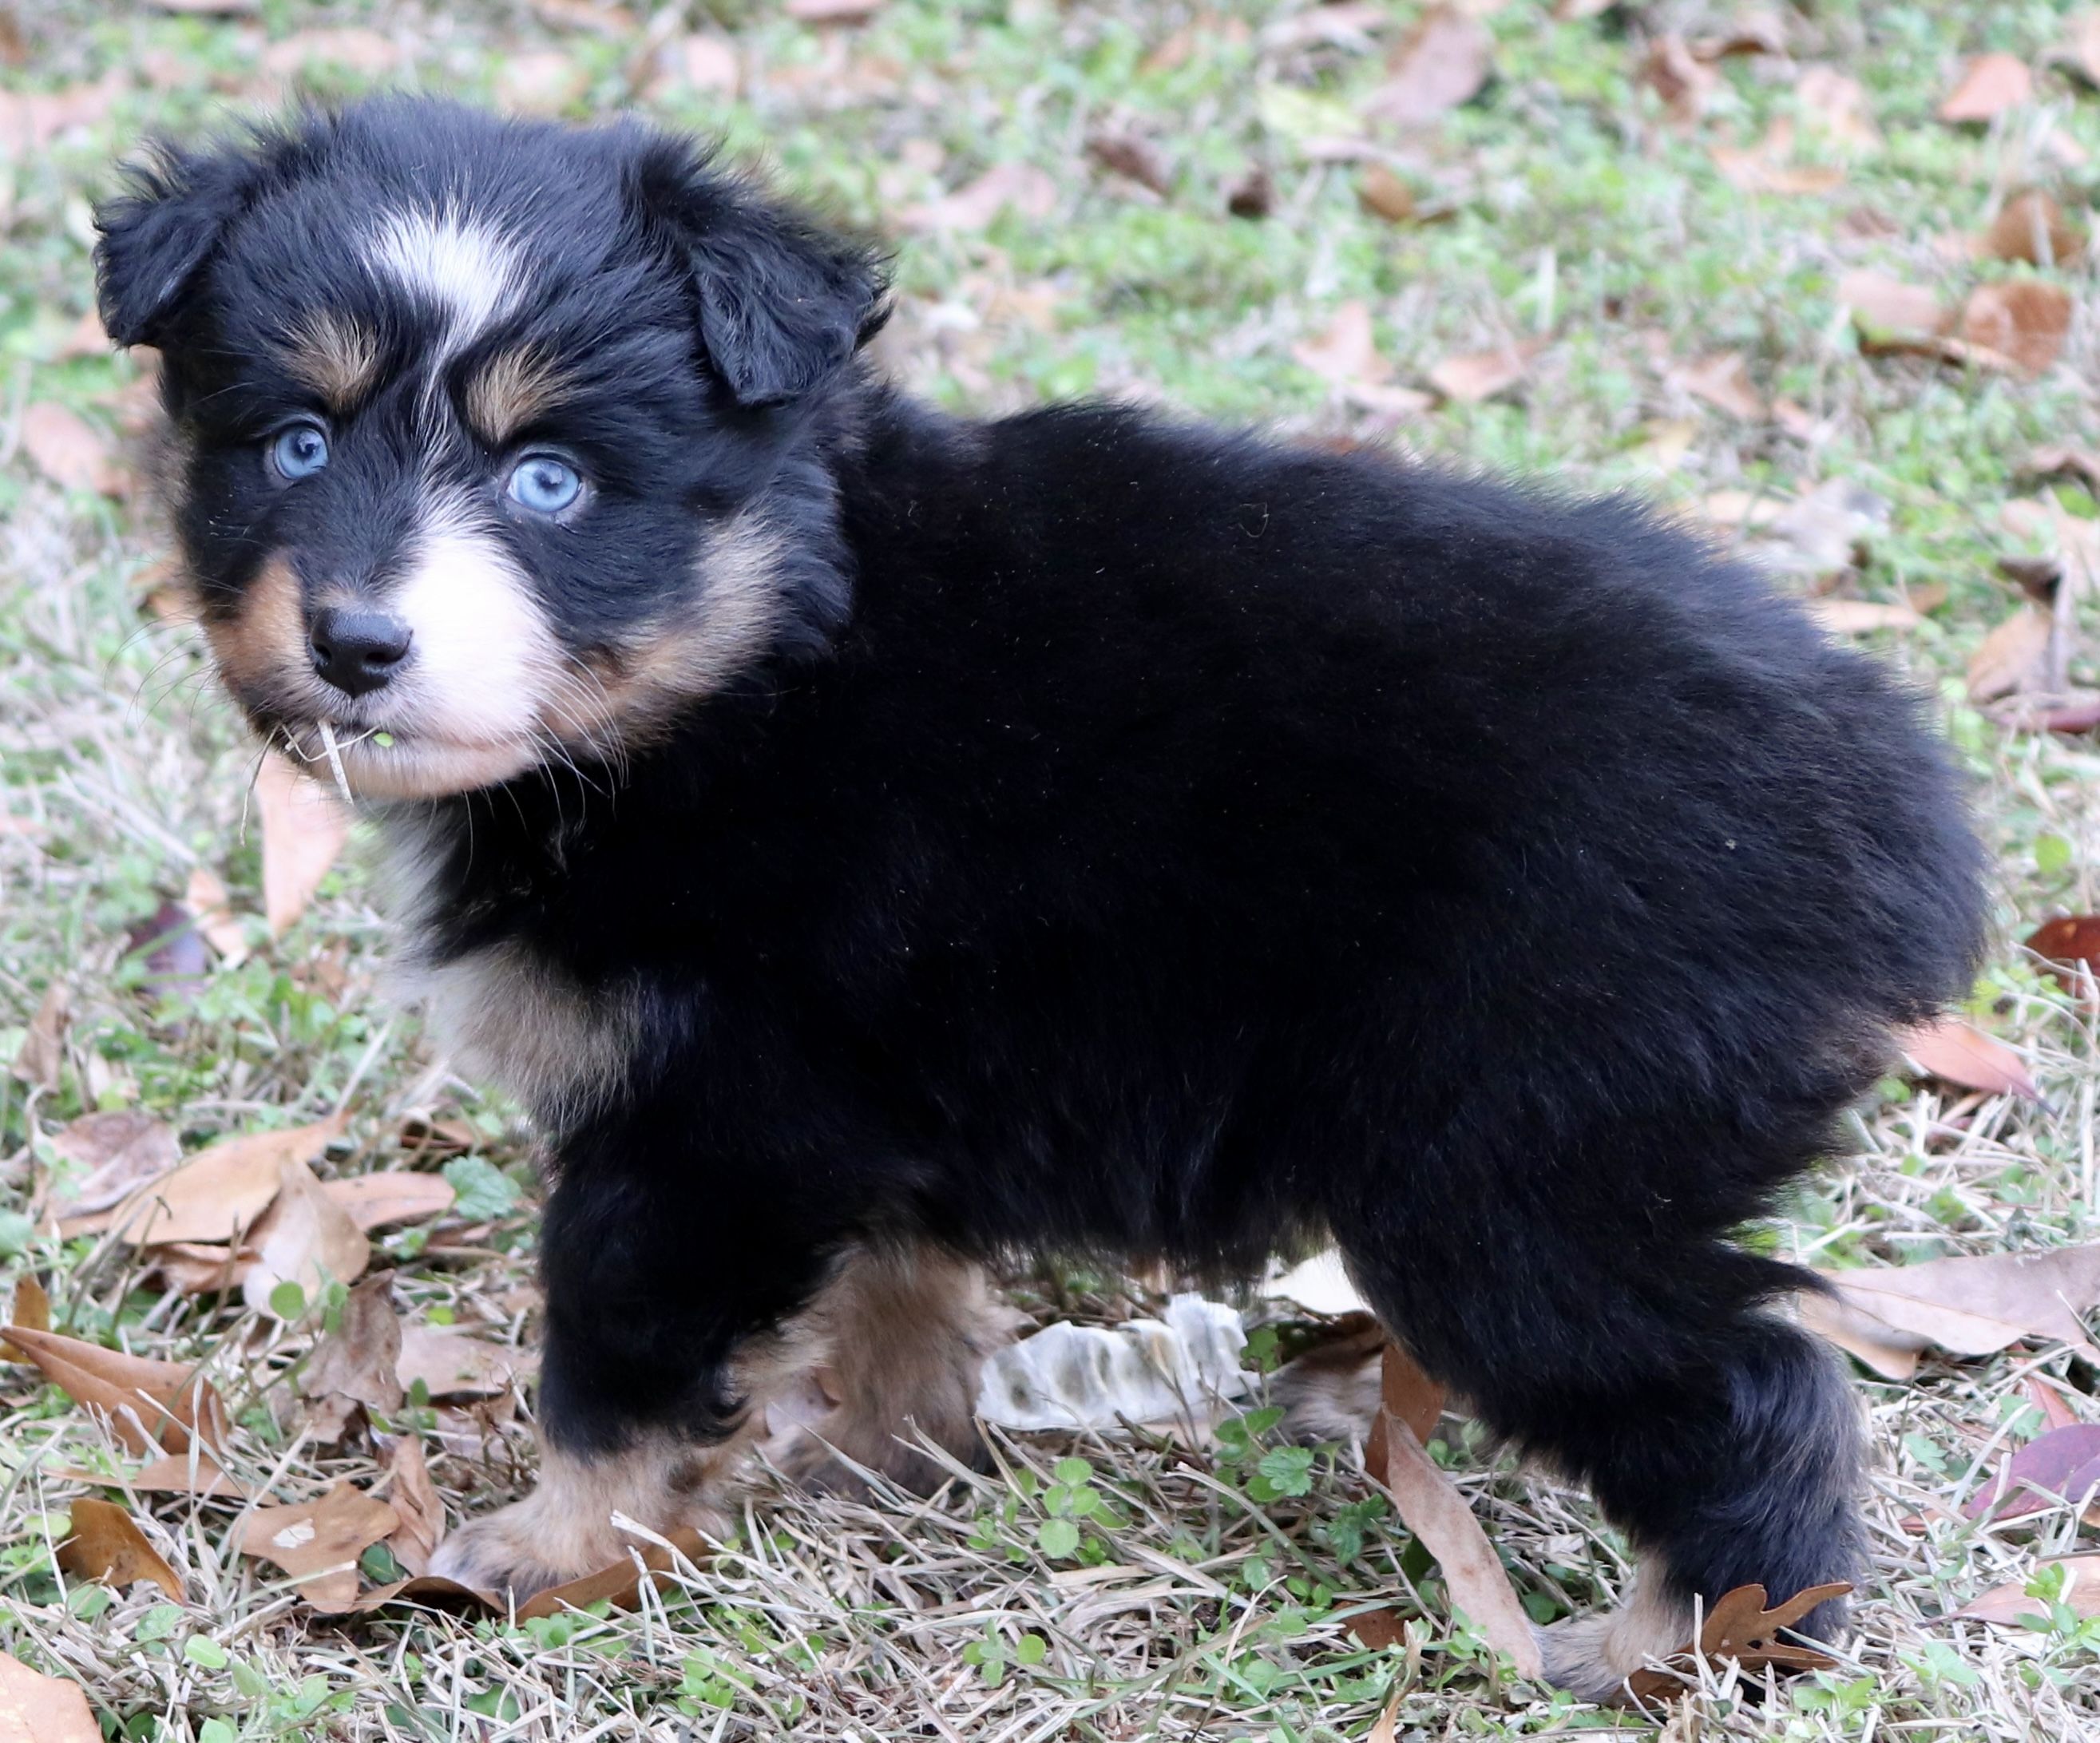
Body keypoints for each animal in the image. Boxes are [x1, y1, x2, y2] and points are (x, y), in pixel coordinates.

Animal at [95, 97, 1986, 1698]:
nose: (356, 643)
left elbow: (615, 1351)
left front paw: (548, 1548)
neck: (755, 662)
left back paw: (1673, 1646)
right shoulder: (869, 1081)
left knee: (1751, 1382)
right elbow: (898, 1276)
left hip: (1516, 1173)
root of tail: (1902, 817)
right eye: (294, 443)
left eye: (549, 479)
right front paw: (882, 1451)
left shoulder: (701, 1118)